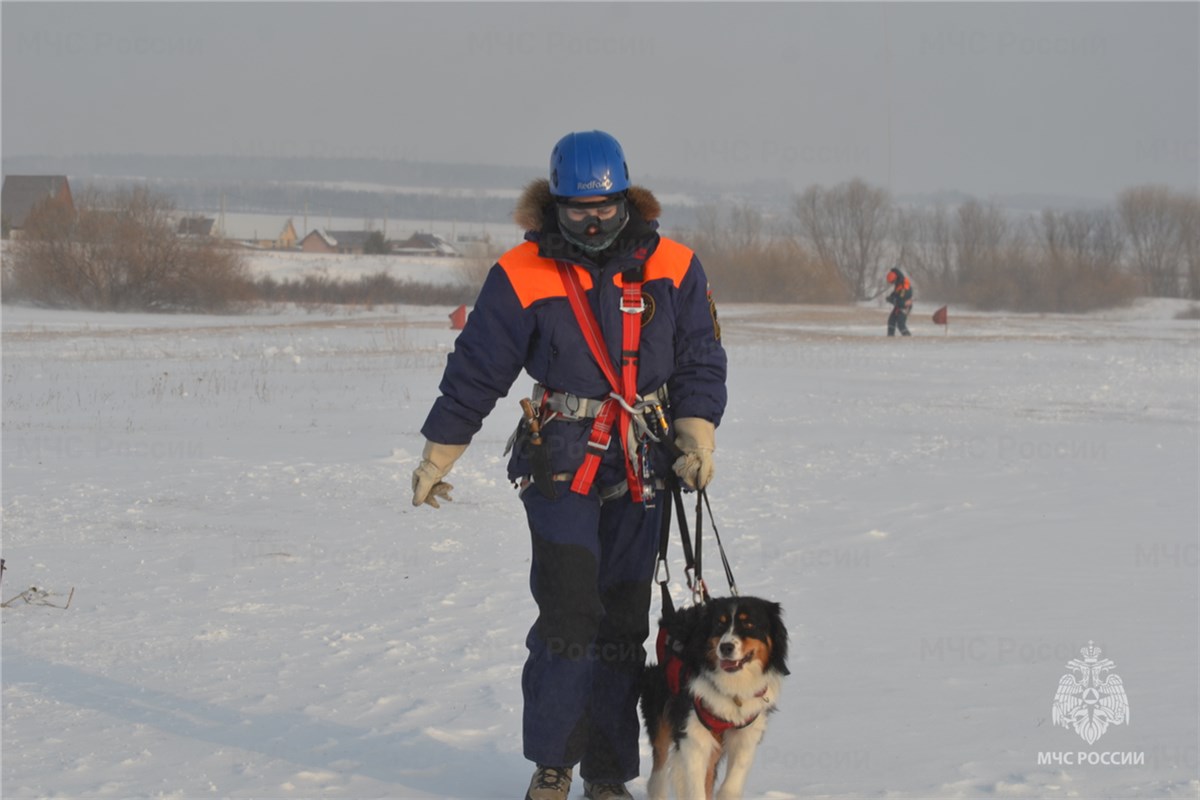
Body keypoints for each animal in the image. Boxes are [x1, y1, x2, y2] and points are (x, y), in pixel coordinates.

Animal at [643, 597, 792, 796]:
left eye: (749, 624)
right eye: (719, 624)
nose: (726, 647)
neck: (733, 688)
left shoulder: (746, 732)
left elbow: (732, 782)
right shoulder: (693, 734)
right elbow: (695, 787)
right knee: (658, 770)